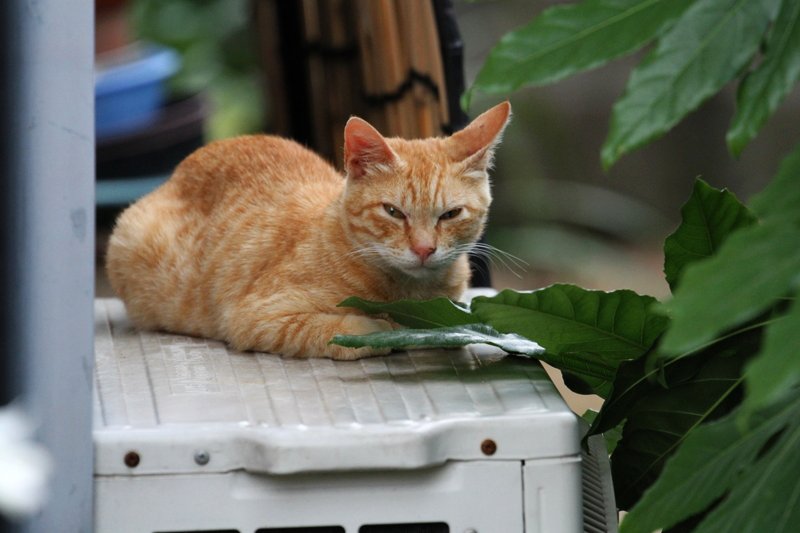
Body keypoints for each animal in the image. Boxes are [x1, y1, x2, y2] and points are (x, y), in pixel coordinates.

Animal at [104, 101, 512, 358]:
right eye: (393, 212)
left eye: (450, 214)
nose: (425, 249)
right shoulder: (255, 317)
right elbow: (354, 332)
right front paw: (383, 328)